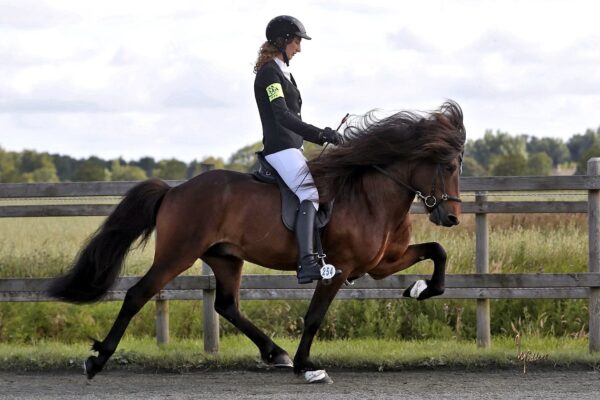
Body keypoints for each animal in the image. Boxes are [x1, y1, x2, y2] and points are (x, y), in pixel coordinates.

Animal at [48, 100, 466, 382]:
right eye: (447, 166)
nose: (451, 217)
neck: (369, 195)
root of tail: (175, 190)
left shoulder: (381, 263)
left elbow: (438, 252)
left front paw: (421, 289)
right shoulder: (340, 268)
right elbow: (314, 316)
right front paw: (307, 367)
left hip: (225, 257)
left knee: (226, 305)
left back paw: (274, 352)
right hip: (178, 254)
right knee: (138, 294)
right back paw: (96, 360)